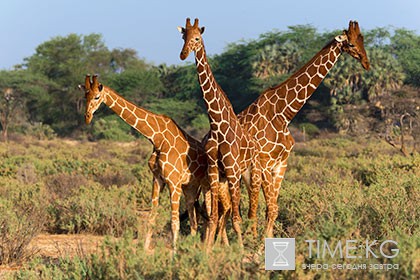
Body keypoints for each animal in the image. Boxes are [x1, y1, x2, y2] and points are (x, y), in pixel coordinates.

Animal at [79, 74, 230, 249]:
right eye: (85, 96)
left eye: (97, 96)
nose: (87, 117)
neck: (157, 138)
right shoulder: (158, 179)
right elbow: (152, 219)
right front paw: (146, 250)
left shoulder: (173, 182)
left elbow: (174, 223)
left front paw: (174, 252)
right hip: (191, 188)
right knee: (196, 220)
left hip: (211, 186)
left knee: (217, 214)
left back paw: (217, 247)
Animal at [177, 18, 260, 247]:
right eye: (183, 36)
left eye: (197, 38)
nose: (183, 54)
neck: (216, 125)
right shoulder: (215, 171)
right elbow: (214, 215)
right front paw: (207, 250)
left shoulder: (232, 170)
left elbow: (237, 218)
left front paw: (240, 250)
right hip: (227, 178)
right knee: (226, 210)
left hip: (249, 173)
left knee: (251, 209)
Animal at [238, 20, 370, 237]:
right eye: (350, 44)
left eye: (362, 40)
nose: (366, 63)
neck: (283, 114)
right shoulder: (264, 163)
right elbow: (268, 208)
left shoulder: (281, 164)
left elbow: (273, 209)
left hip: (246, 174)